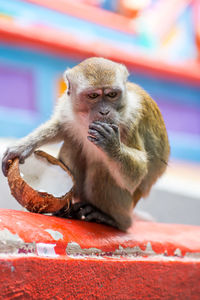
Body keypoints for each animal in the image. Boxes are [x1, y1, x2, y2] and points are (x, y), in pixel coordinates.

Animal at [1, 56, 170, 232]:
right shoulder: (68, 106)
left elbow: (137, 175)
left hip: (126, 203)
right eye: (93, 95)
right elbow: (62, 127)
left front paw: (112, 146)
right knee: (73, 144)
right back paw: (66, 210)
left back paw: (113, 220)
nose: (104, 111)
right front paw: (22, 147)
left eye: (112, 94)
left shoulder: (131, 120)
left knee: (101, 168)